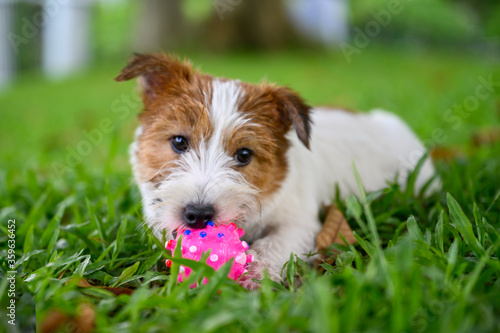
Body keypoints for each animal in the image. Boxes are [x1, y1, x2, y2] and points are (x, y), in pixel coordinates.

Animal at [115, 53, 440, 288]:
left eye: (244, 154)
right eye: (179, 141)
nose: (197, 214)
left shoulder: (300, 225)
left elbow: (275, 243)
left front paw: (256, 273)